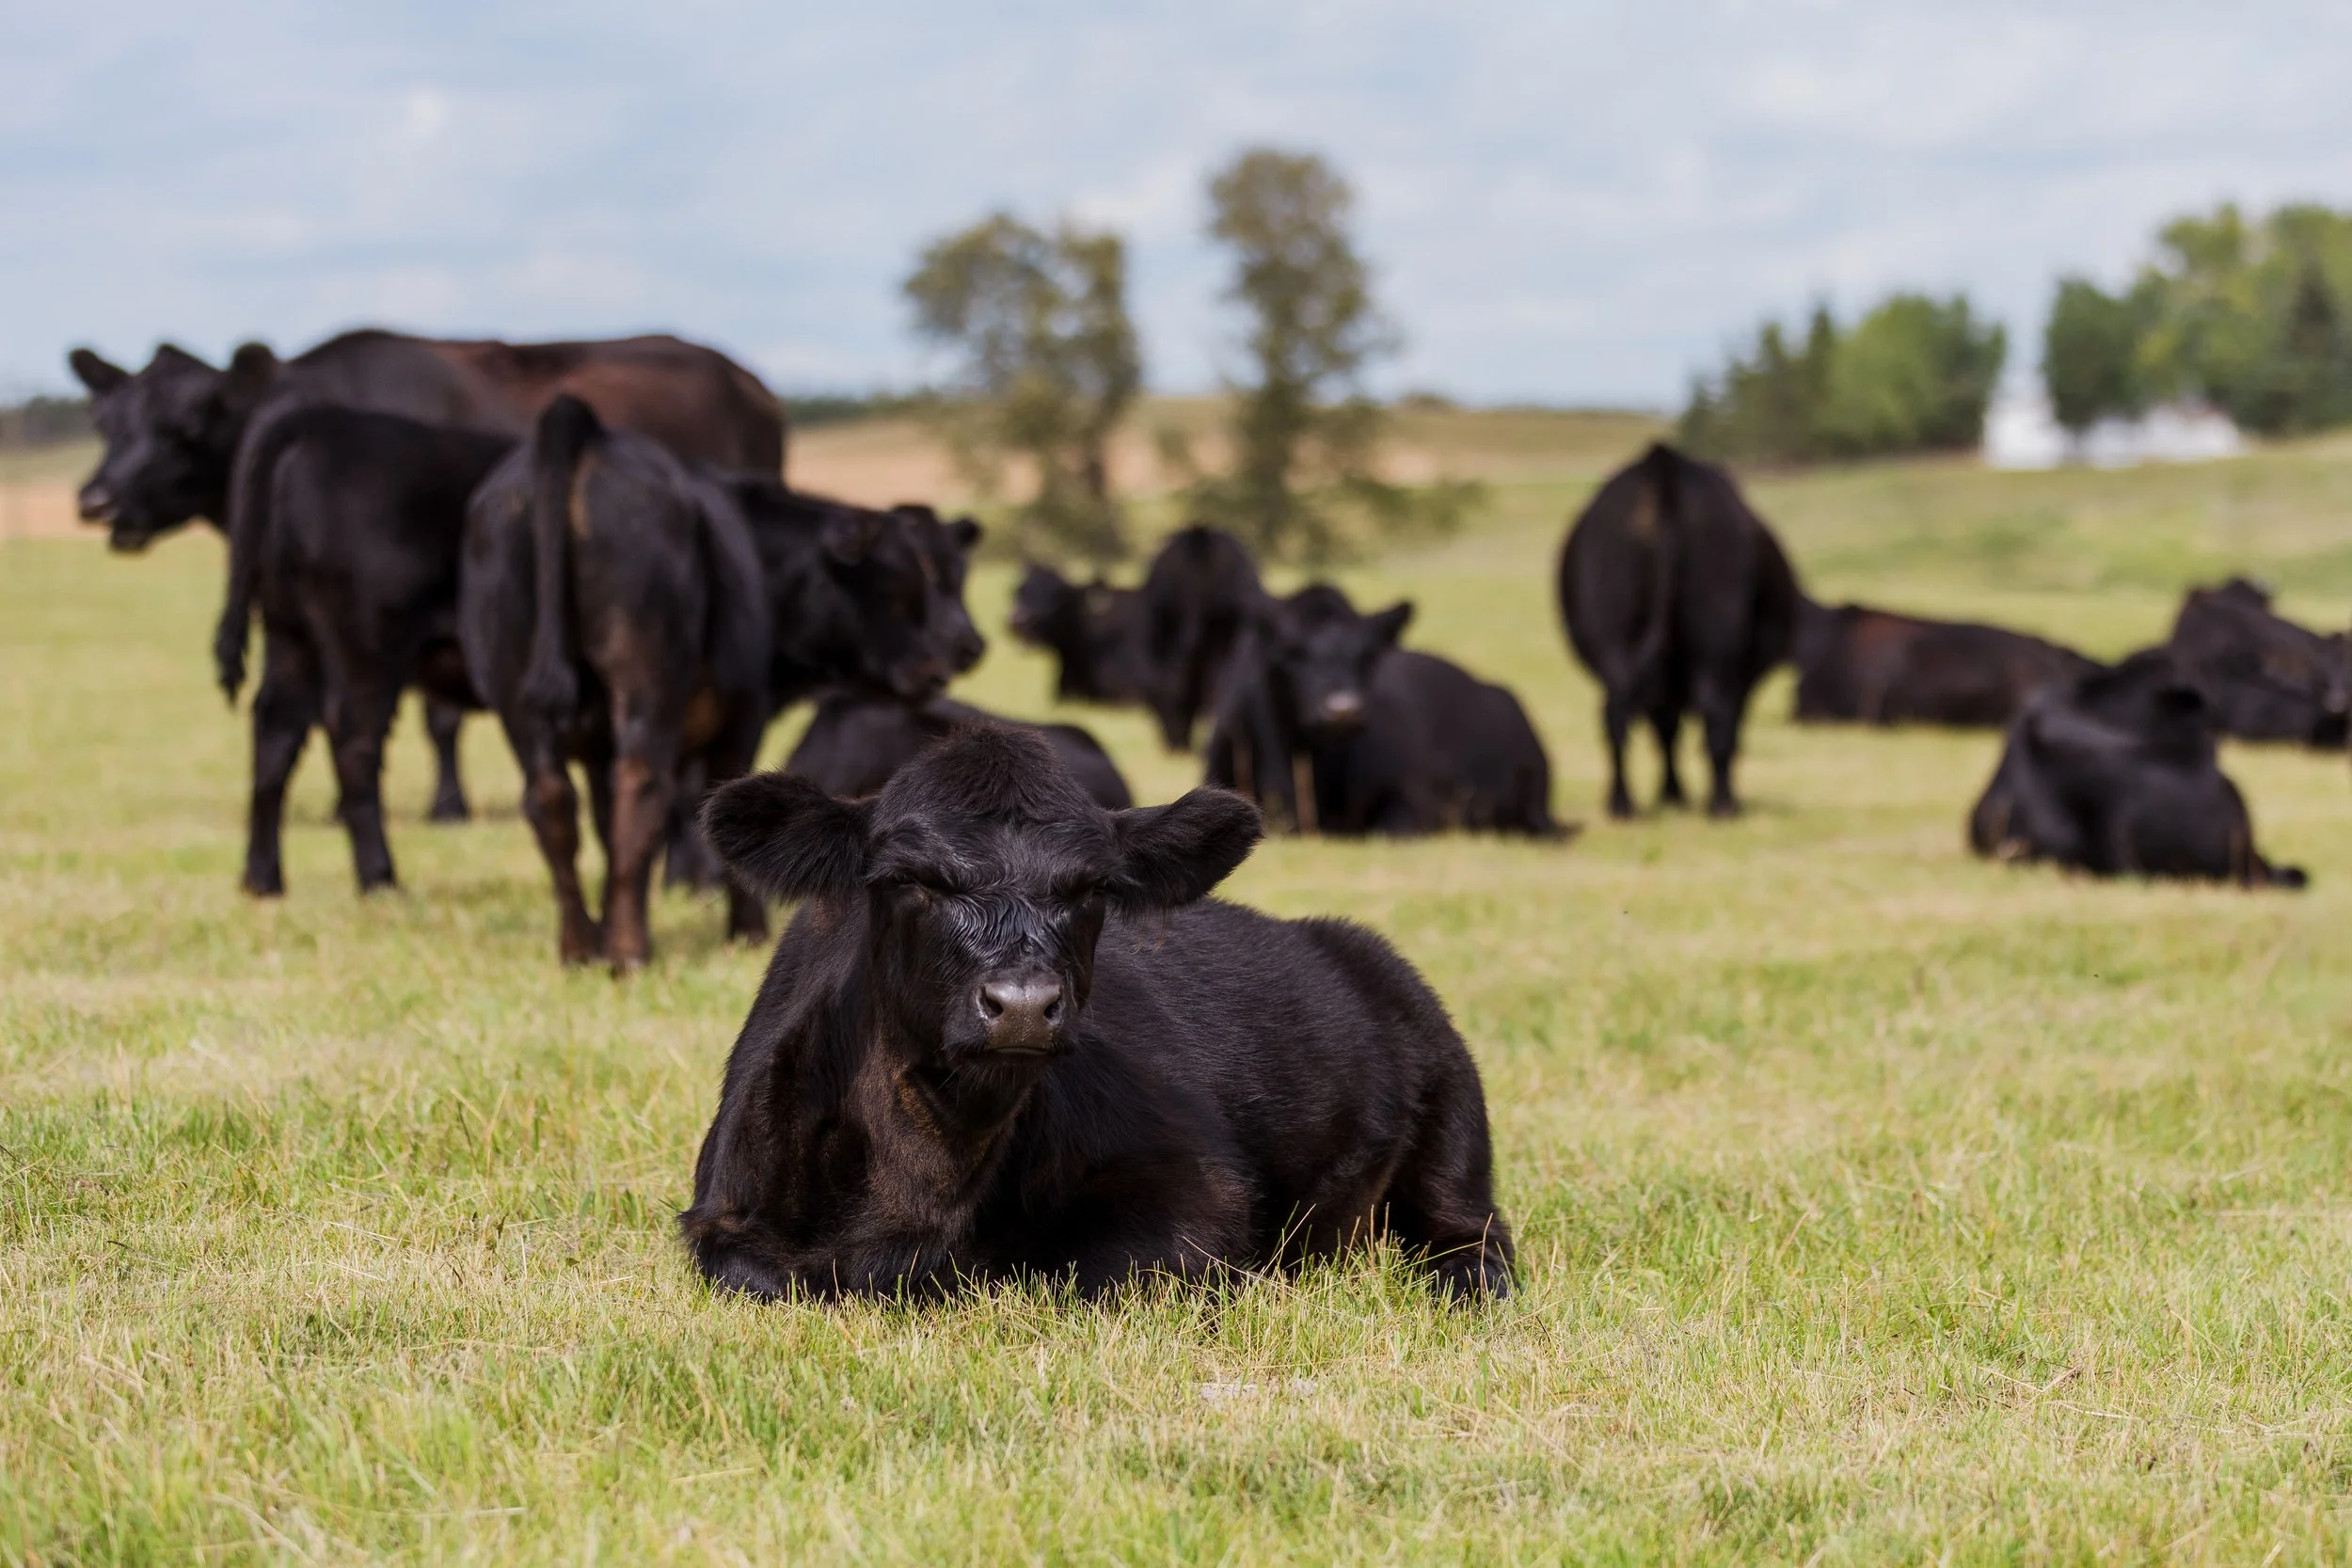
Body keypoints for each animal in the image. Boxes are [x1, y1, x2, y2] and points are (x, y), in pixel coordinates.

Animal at [69, 329, 785, 822]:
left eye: (184, 425)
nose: (95, 500)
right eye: (106, 421)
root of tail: (743, 377)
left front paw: (445, 807)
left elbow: (434, 718)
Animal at [209, 409, 514, 897]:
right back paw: (379, 877)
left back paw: (264, 878)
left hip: (289, 636)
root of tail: (325, 420)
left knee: (276, 734)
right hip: (369, 644)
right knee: (355, 742)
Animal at [678, 725, 1515, 1301]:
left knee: (1470, 1236)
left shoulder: (1200, 1192)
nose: (1021, 1005)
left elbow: (1096, 1274)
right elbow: (755, 1274)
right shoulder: (722, 1217)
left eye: (1090, 887)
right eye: (912, 878)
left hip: (1454, 1131)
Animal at [1557, 442, 1799, 818]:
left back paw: (1622, 804)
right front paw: (1675, 793)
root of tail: (1662, 462)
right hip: (1713, 636)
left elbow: (1666, 727)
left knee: (1619, 712)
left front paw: (1672, 793)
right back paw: (1722, 804)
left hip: (1617, 631)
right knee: (1714, 712)